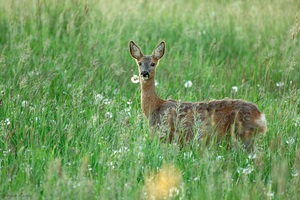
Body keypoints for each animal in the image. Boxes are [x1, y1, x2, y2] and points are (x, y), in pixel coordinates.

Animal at [129, 40, 268, 150]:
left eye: (153, 63)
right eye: (139, 63)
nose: (144, 73)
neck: (154, 107)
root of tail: (260, 115)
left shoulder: (163, 134)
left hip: (244, 134)